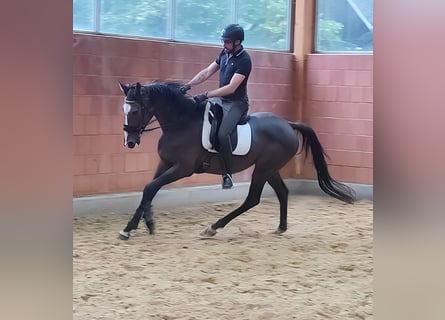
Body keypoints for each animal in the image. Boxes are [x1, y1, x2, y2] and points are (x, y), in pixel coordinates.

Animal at [117, 81, 354, 239]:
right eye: (124, 109)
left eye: (135, 110)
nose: (130, 142)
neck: (180, 124)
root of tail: (288, 124)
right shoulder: (165, 163)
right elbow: (149, 189)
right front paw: (144, 223)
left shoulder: (182, 168)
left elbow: (150, 188)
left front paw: (132, 227)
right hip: (270, 169)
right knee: (282, 192)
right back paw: (280, 227)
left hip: (263, 169)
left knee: (253, 199)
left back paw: (214, 227)